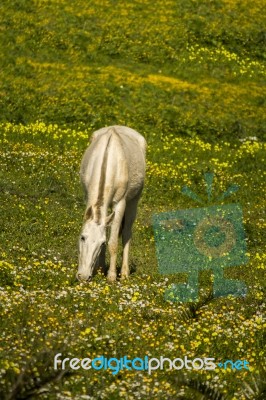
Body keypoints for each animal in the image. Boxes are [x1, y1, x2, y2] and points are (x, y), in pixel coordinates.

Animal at [77, 125, 147, 282]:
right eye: (82, 237)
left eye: (101, 242)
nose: (83, 277)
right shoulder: (88, 198)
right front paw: (100, 270)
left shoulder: (119, 203)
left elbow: (113, 242)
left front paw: (111, 276)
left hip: (133, 201)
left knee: (126, 233)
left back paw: (125, 273)